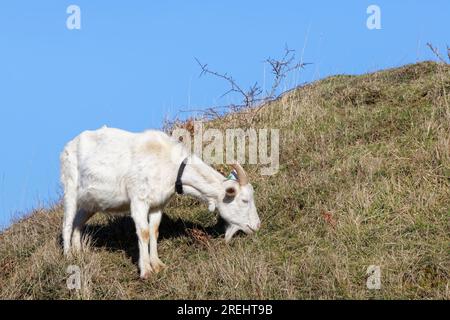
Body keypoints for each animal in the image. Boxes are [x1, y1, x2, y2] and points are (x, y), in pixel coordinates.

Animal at [59, 126, 260, 278]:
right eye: (244, 200)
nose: (257, 225)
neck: (171, 166)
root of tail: (68, 145)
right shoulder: (139, 200)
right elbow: (144, 232)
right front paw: (146, 271)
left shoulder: (158, 205)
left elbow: (154, 231)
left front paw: (157, 265)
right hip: (70, 188)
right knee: (67, 224)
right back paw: (68, 256)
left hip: (90, 203)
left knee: (78, 223)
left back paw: (80, 253)